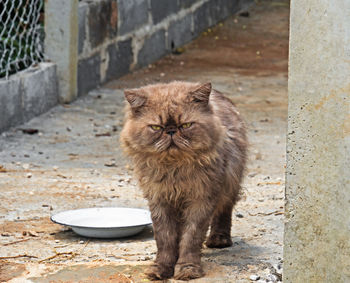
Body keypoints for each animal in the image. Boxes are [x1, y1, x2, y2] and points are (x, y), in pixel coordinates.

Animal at [121, 81, 247, 280]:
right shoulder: (160, 200)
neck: (175, 169)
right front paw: (161, 268)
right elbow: (165, 240)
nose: (171, 131)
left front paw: (187, 269)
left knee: (224, 212)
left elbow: (191, 238)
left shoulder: (202, 199)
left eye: (186, 125)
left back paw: (219, 239)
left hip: (230, 183)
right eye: (156, 128)